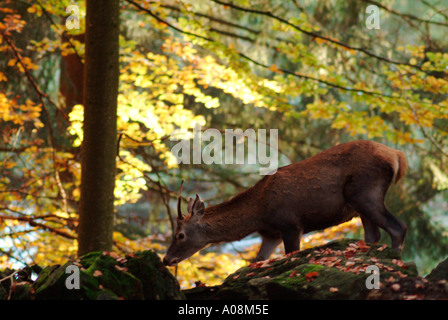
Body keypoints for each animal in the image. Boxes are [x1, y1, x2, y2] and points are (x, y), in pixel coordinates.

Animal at [163, 140, 408, 268]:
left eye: (180, 234)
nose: (166, 259)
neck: (258, 213)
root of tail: (397, 155)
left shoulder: (291, 225)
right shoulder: (271, 234)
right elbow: (258, 260)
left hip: (365, 192)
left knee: (399, 227)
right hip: (360, 202)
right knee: (373, 235)